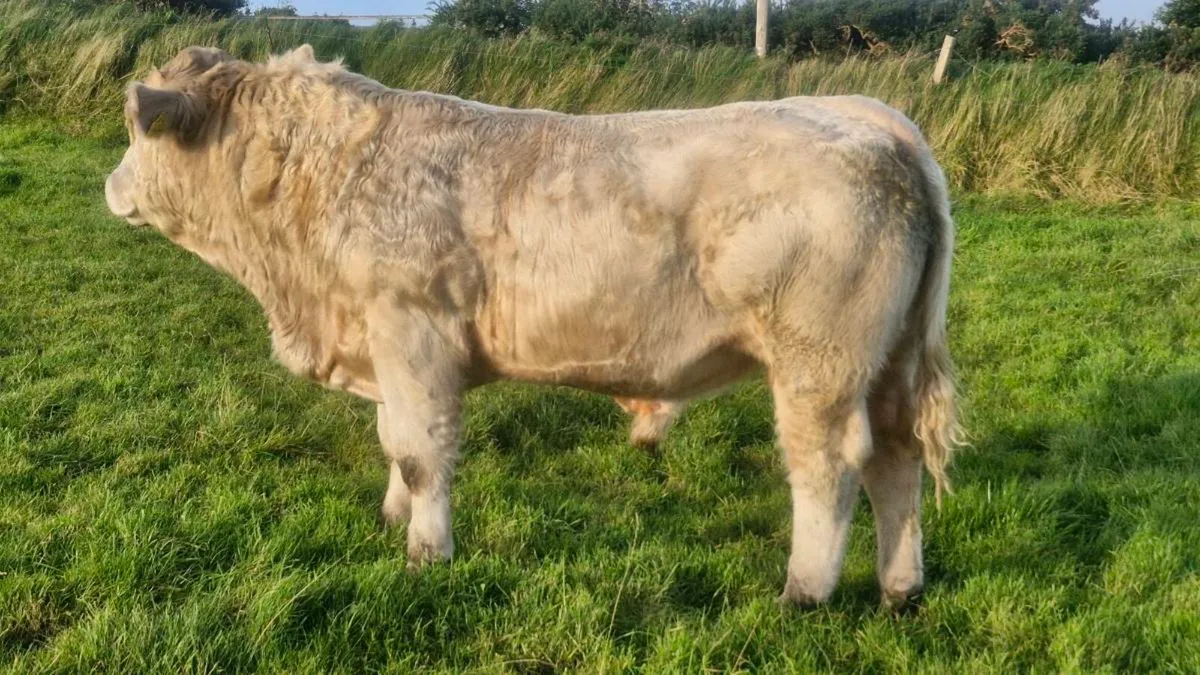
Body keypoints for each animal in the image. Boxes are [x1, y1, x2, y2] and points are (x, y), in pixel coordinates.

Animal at [104, 45, 963, 609]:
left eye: (136, 128)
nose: (109, 184)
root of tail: (876, 122)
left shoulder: (414, 332)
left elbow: (420, 452)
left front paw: (426, 553)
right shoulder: (384, 343)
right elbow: (392, 440)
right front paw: (391, 518)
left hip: (820, 363)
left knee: (828, 467)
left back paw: (804, 591)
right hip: (887, 363)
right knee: (896, 460)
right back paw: (900, 589)